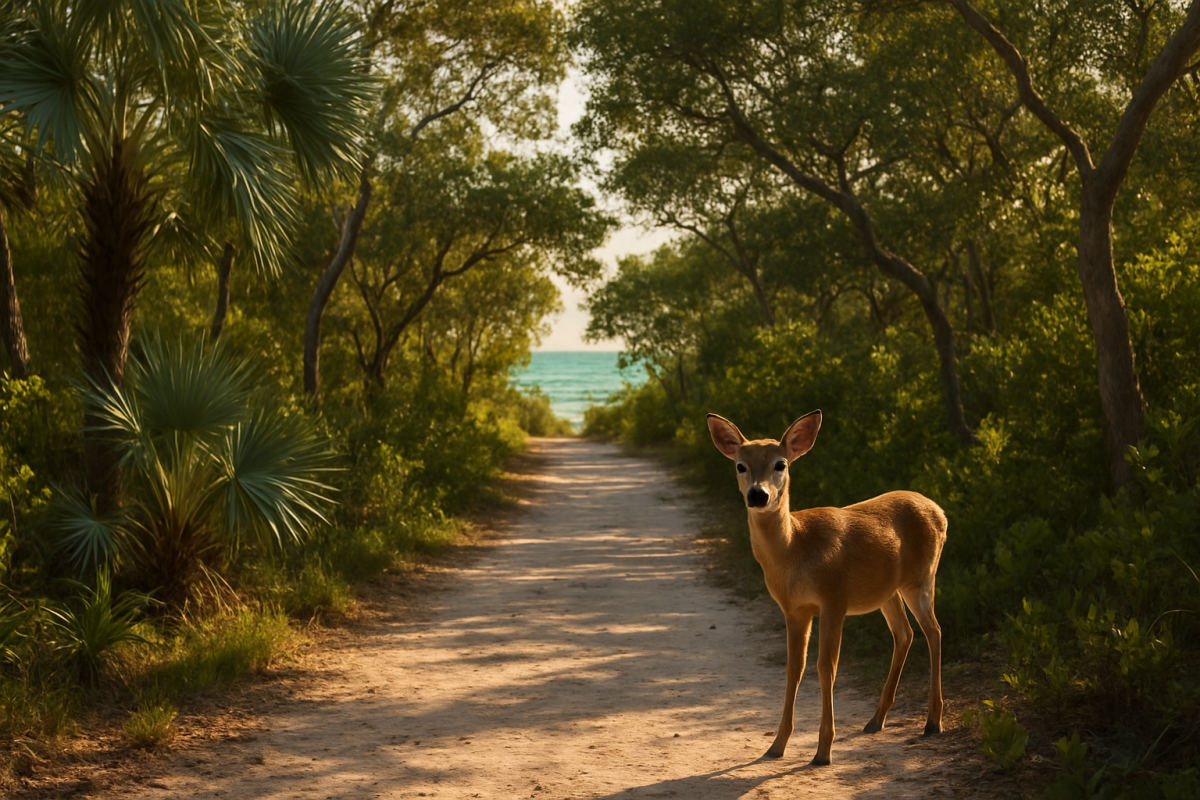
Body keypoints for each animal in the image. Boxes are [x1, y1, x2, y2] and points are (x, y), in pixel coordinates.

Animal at [706, 410, 946, 766]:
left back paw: (933, 722)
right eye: (740, 465)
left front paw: (823, 751)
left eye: (780, 464)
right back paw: (875, 720)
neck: (795, 548)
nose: (758, 494)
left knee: (934, 631)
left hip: (921, 578)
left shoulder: (834, 597)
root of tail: (940, 511)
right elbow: (794, 668)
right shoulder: (793, 608)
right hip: (887, 590)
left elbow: (826, 667)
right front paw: (776, 746)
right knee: (905, 633)